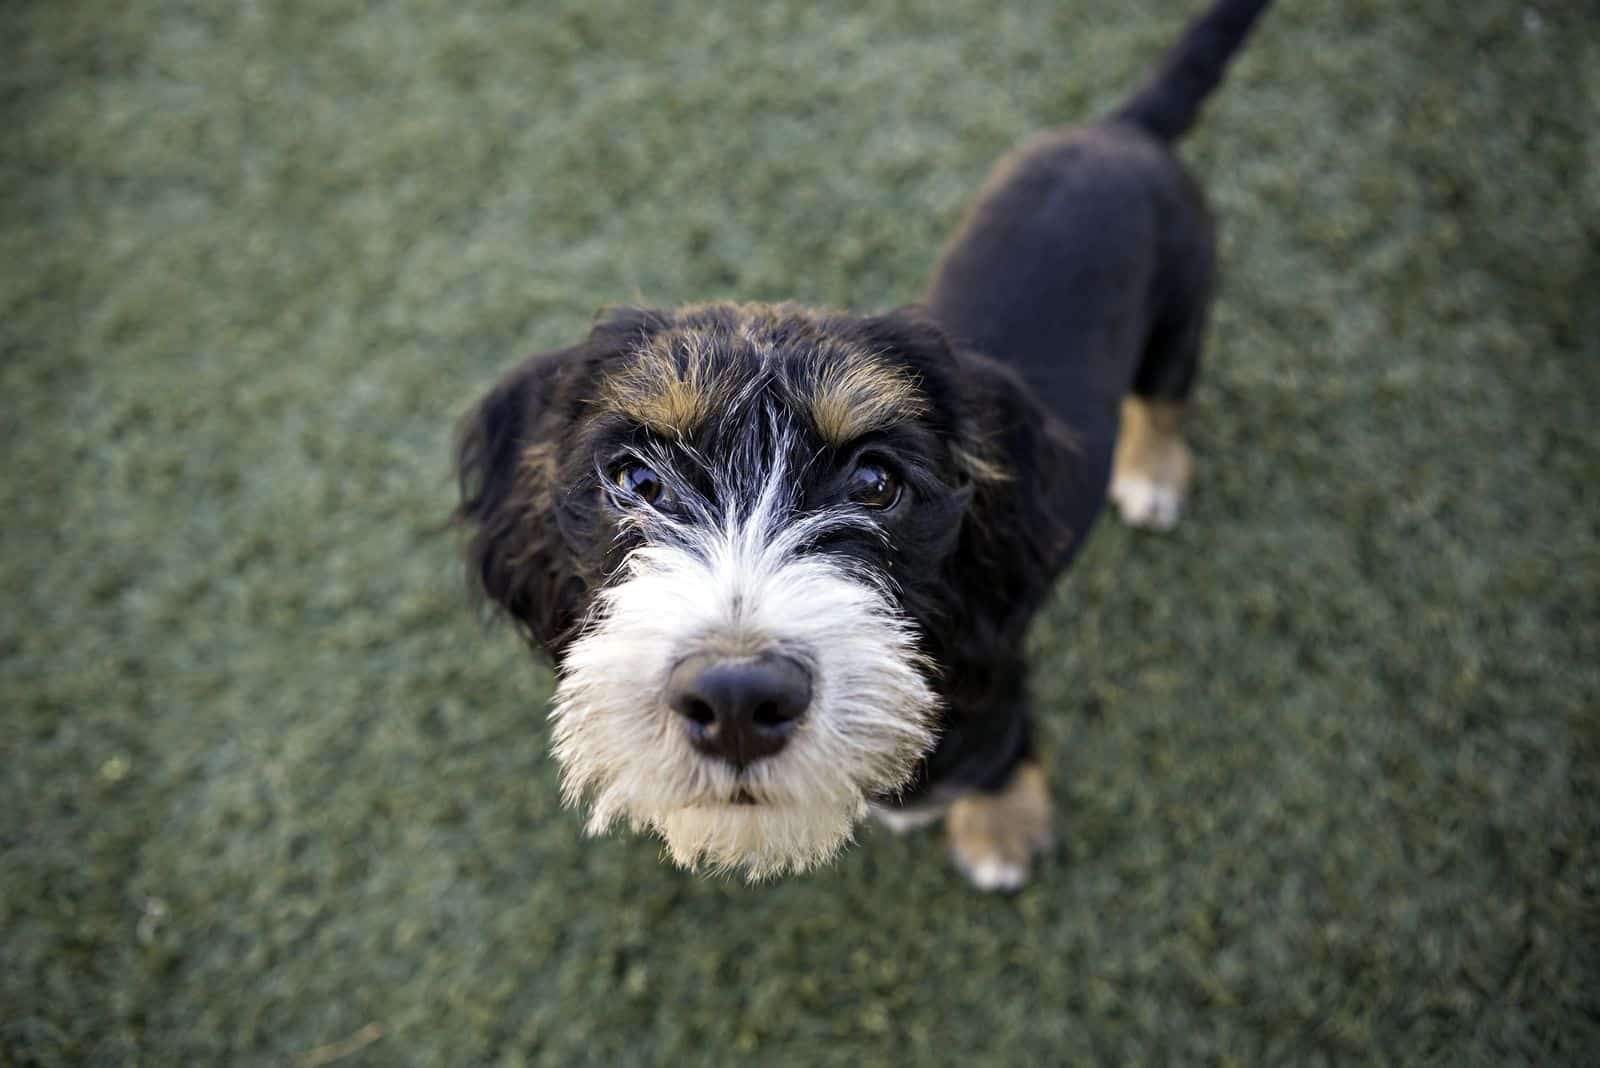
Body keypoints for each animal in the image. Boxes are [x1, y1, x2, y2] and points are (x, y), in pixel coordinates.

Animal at [454, 0, 1273, 888]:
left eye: (875, 482)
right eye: (636, 482)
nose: (737, 699)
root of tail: (1124, 131)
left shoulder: (994, 664)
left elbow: (1000, 749)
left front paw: (1000, 834)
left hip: (1184, 308)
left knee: (1166, 396)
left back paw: (1153, 476)